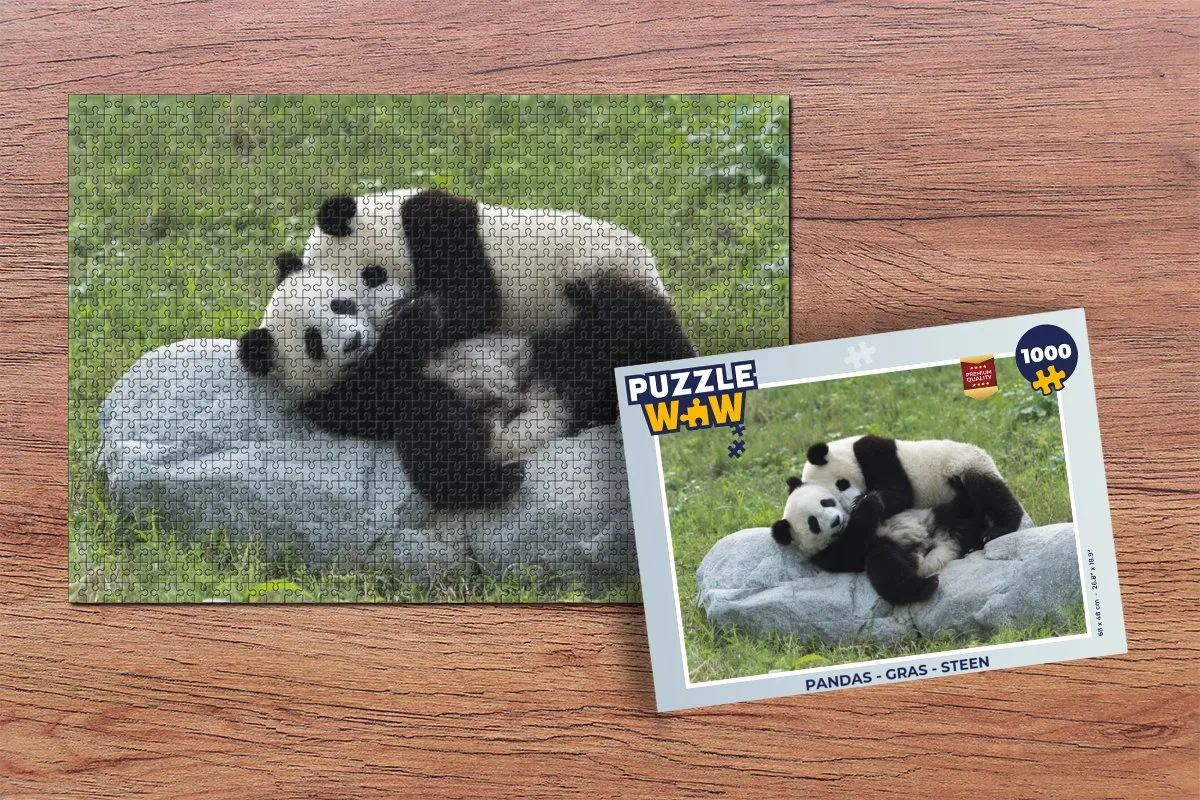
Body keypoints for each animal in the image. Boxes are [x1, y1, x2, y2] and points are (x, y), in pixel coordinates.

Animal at [285, 188, 669, 343]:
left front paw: (413, 309)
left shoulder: (441, 229)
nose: (388, 308)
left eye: (371, 276)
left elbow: (477, 299)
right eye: (350, 306)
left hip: (608, 269)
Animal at [770, 471, 1016, 604]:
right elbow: (850, 553)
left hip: (936, 517)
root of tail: (941, 548)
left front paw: (869, 498)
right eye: (813, 523)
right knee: (886, 564)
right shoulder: (826, 554)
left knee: (962, 510)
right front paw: (869, 504)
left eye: (826, 502)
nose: (835, 521)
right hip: (900, 552)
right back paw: (926, 586)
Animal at [800, 434, 1025, 542]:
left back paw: (998, 529)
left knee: (990, 492)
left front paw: (863, 500)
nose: (852, 505)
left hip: (966, 465)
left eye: (842, 484)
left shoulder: (875, 453)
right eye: (832, 502)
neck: (847, 450)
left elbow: (900, 491)